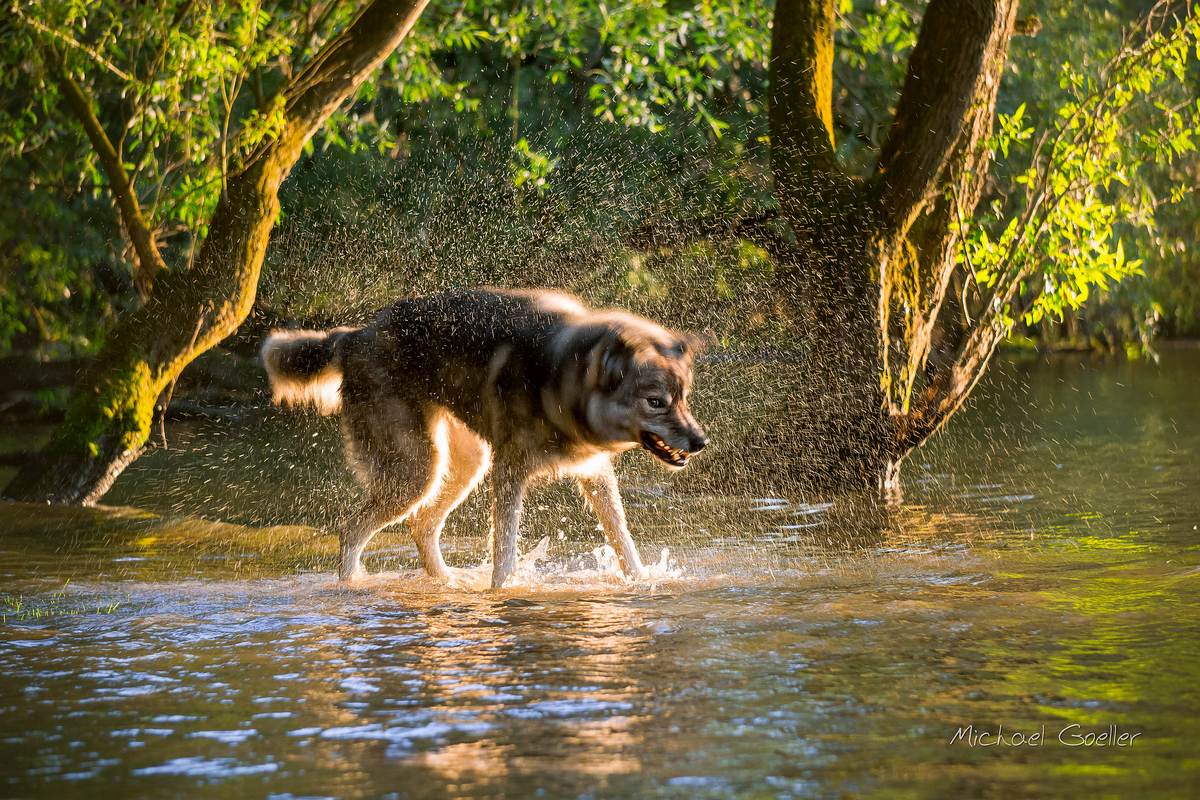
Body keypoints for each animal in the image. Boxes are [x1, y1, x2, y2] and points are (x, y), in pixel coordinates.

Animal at [261, 288, 708, 588]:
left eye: (684, 397)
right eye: (656, 402)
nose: (701, 441)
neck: (560, 378)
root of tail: (353, 334)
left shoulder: (594, 472)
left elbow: (623, 542)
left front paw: (640, 581)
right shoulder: (509, 473)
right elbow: (504, 553)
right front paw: (503, 592)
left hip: (464, 465)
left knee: (421, 525)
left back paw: (448, 583)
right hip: (418, 472)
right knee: (352, 530)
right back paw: (356, 587)